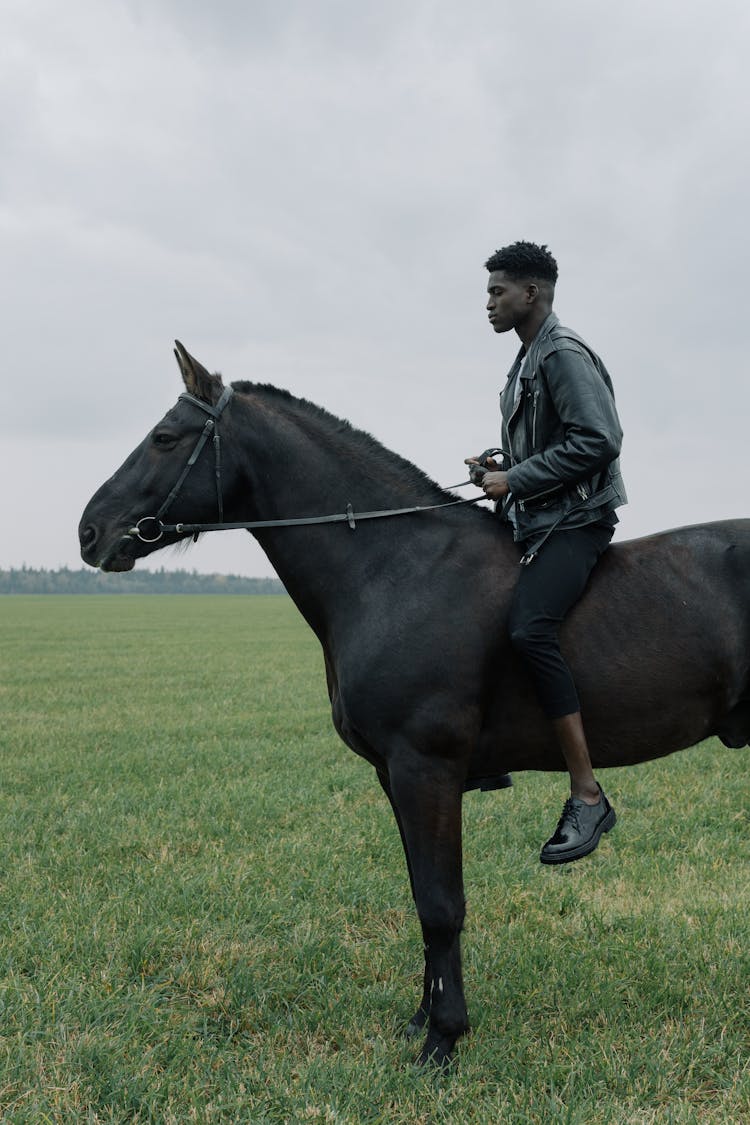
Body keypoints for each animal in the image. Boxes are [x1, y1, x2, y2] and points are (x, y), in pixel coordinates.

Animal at [79, 342, 746, 1062]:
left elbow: (440, 905)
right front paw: (423, 1018)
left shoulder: (427, 769)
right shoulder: (394, 776)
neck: (395, 567)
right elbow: (423, 898)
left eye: (165, 438)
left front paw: (444, 1038)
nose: (89, 531)